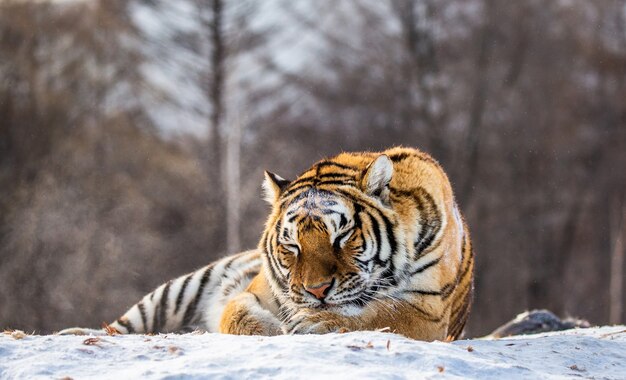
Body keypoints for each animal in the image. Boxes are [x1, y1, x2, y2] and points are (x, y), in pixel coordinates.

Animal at [59, 147, 472, 340]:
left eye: (342, 236)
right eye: (292, 246)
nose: (317, 291)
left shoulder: (427, 311)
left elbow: (381, 314)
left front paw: (313, 324)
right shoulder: (257, 290)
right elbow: (237, 313)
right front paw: (279, 330)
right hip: (176, 291)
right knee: (121, 326)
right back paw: (74, 333)